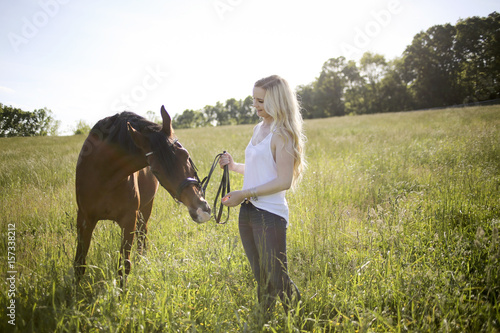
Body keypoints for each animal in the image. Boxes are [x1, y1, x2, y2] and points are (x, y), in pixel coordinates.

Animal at [73, 105, 210, 280]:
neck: (103, 175)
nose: (201, 210)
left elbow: (124, 266)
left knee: (142, 234)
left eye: (185, 154)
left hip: (145, 208)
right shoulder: (84, 219)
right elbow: (79, 264)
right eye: (155, 170)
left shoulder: (129, 219)